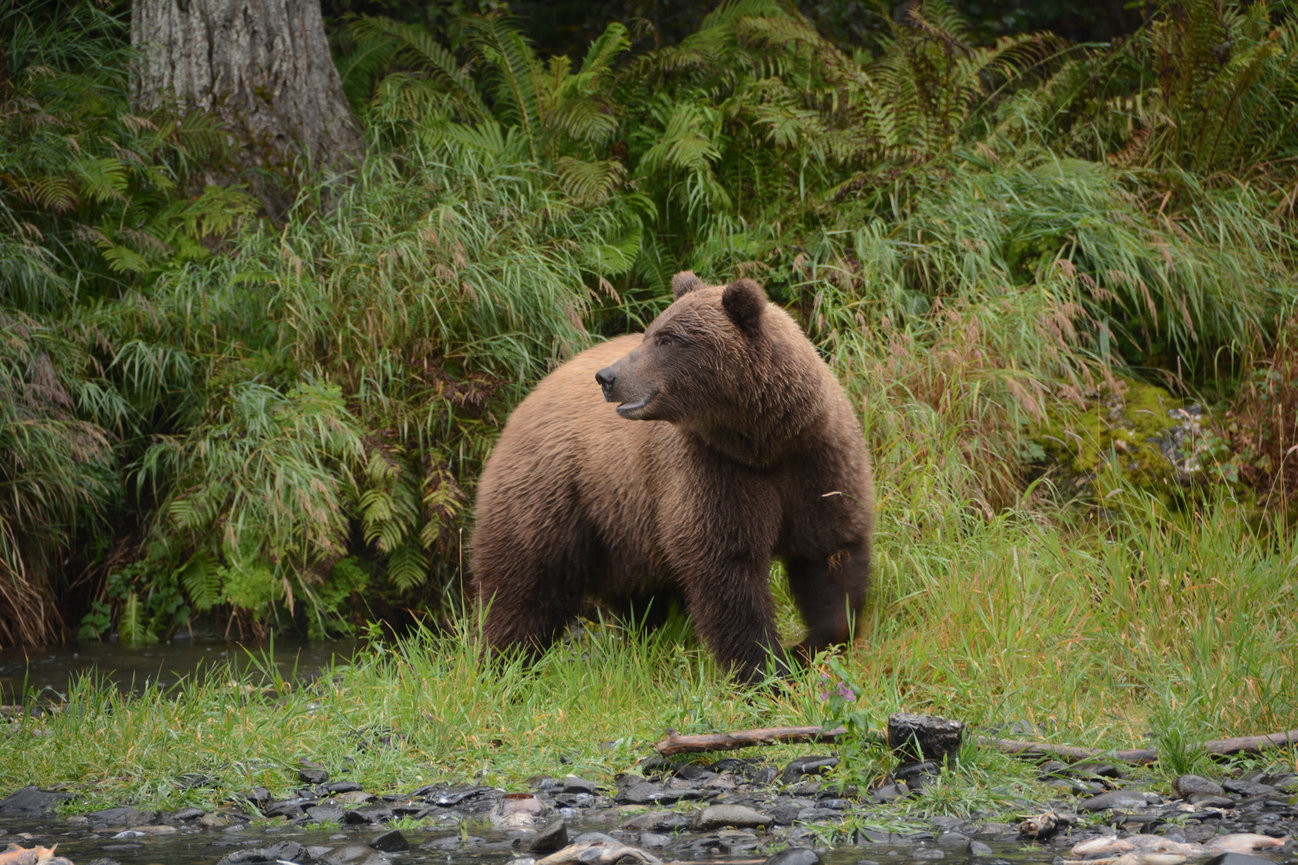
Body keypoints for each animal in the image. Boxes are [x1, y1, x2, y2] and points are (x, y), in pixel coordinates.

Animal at [469, 271, 874, 684]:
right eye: (651, 333)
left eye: (667, 339)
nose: (607, 377)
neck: (763, 441)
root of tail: (528, 398)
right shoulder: (710, 471)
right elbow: (726, 567)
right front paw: (764, 670)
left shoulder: (817, 463)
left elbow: (830, 552)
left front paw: (809, 648)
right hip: (555, 492)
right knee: (524, 584)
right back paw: (502, 665)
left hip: (624, 524)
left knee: (639, 595)